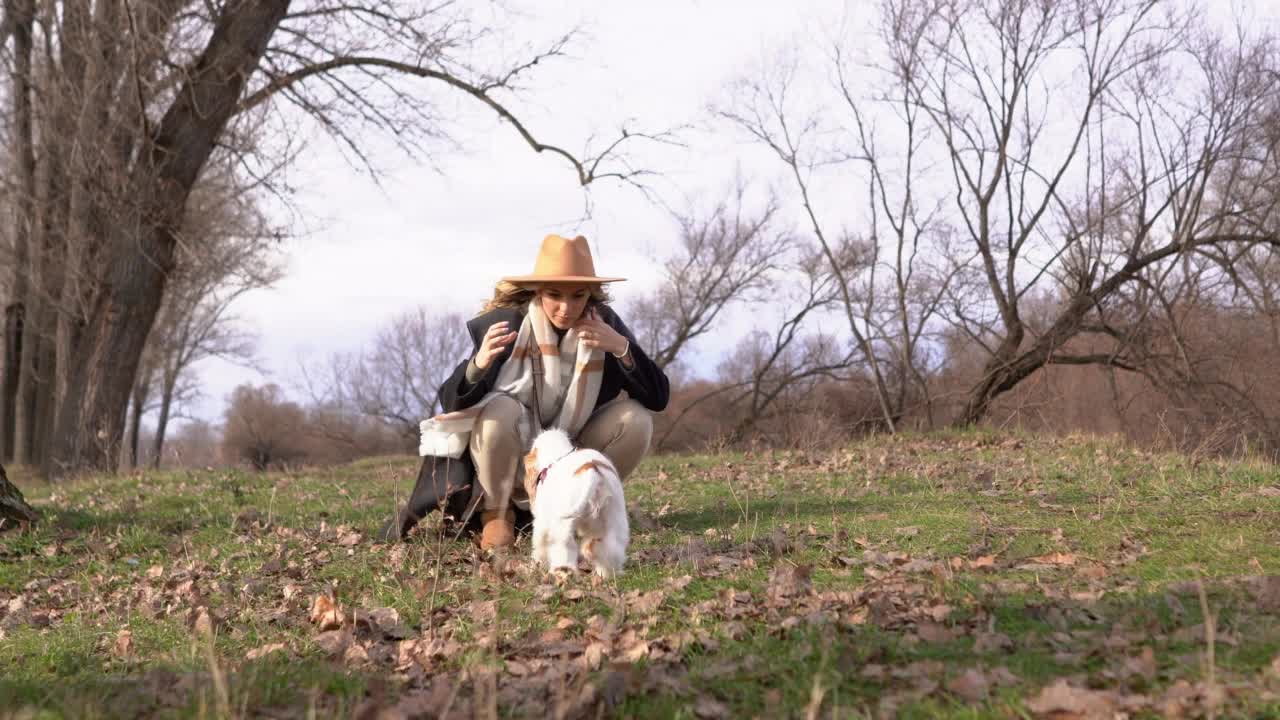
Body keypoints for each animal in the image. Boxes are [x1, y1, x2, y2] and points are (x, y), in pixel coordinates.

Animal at [519, 425, 629, 576]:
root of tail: (593, 472)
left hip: (563, 528)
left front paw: (535, 566)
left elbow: (539, 546)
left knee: (566, 552)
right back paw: (605, 574)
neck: (556, 457)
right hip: (614, 521)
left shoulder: (542, 523)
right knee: (610, 551)